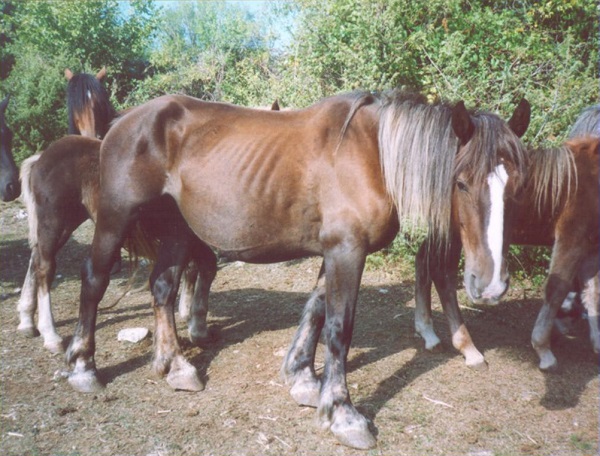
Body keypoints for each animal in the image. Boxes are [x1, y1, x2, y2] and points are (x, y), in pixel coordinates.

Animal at [63, 90, 528, 448]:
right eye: (461, 182)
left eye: (517, 186)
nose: (490, 283)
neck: (373, 155)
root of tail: (120, 123)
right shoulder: (347, 251)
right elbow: (339, 329)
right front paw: (343, 414)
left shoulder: (335, 252)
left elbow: (316, 312)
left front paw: (303, 379)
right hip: (115, 218)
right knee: (94, 280)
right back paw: (84, 367)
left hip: (177, 229)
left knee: (162, 287)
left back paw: (174, 365)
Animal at [414, 103, 600, 370]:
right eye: (461, 184)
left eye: (523, 187)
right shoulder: (571, 238)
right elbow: (557, 288)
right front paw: (544, 350)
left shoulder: (592, 246)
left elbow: (592, 290)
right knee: (441, 272)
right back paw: (467, 348)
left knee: (423, 261)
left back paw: (427, 332)